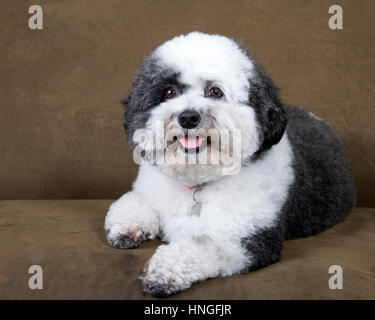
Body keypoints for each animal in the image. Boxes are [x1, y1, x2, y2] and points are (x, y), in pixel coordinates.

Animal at [104, 31, 356, 296]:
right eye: (169, 93)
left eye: (215, 91)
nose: (188, 117)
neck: (198, 184)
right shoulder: (148, 190)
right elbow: (131, 201)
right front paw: (128, 228)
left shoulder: (246, 237)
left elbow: (201, 244)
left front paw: (163, 271)